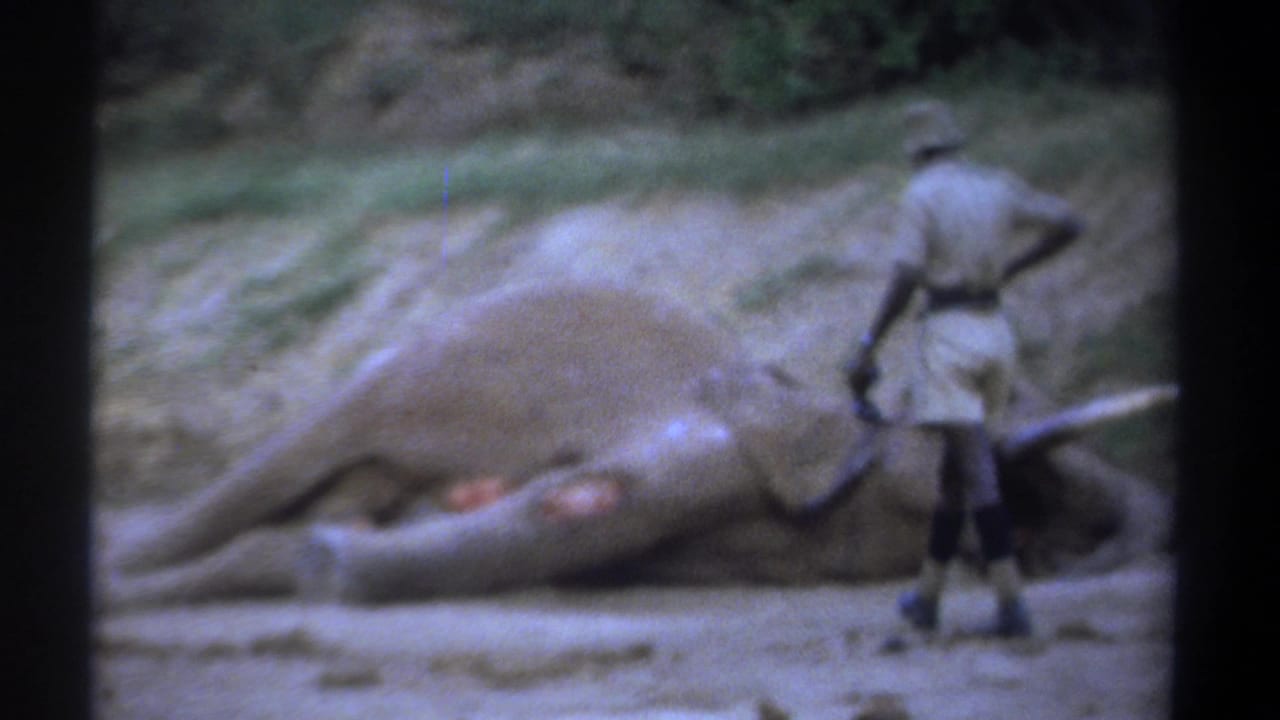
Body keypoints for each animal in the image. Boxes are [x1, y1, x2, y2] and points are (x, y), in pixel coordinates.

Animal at [98, 282, 1175, 608]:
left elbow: (580, 517)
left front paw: (326, 564)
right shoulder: (733, 434)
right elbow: (590, 496)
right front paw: (328, 567)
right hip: (431, 363)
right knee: (287, 459)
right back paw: (121, 581)